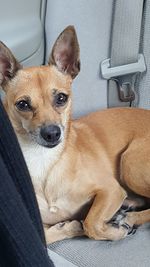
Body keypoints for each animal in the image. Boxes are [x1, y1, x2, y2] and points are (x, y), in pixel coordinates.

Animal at [0, 25, 149, 245]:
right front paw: (70, 226)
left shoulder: (111, 190)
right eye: (23, 104)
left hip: (129, 163)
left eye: (62, 98)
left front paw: (115, 231)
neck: (43, 160)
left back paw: (129, 218)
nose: (52, 133)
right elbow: (48, 235)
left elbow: (91, 223)